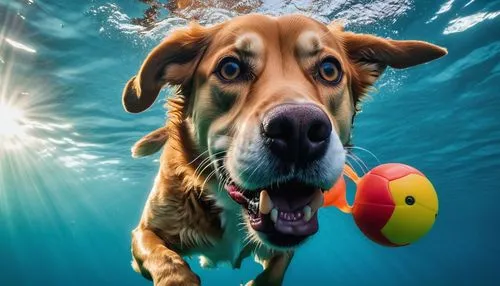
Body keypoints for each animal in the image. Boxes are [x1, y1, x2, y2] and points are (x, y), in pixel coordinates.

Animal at [121, 12, 446, 284]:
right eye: (230, 68)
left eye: (329, 70)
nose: (299, 129)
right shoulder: (144, 234)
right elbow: (166, 261)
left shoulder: (284, 249)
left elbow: (273, 273)